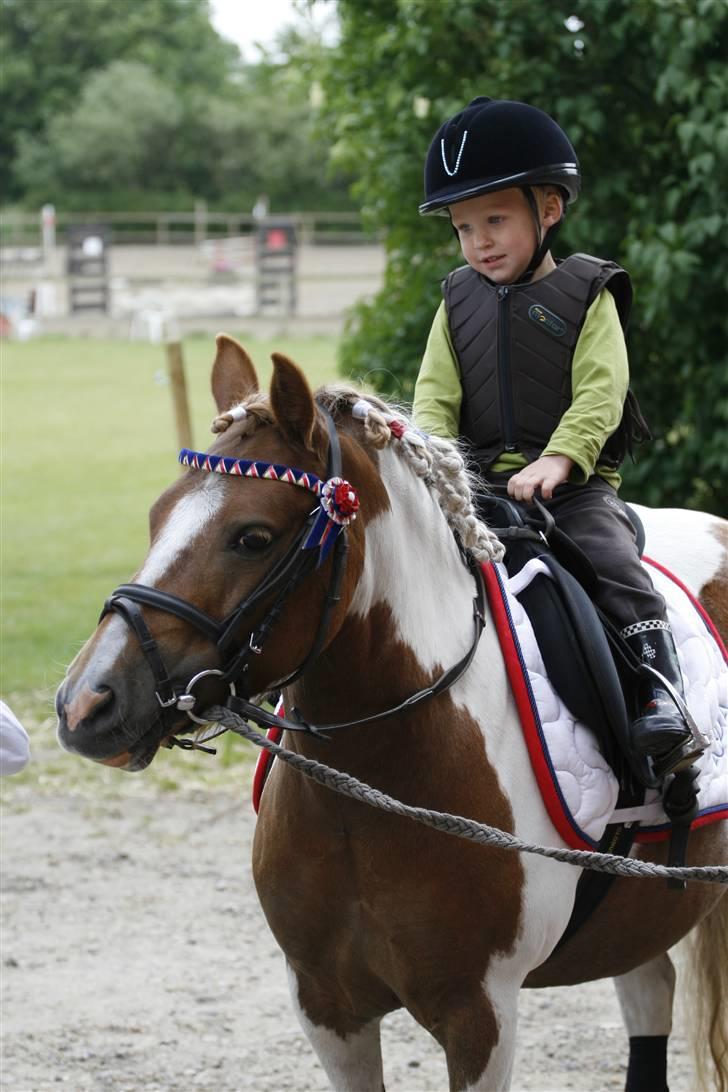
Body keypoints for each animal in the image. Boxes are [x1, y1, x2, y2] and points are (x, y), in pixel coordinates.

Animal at [57, 336, 728, 1087]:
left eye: (252, 536)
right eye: (157, 516)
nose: (88, 701)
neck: (377, 786)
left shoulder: (480, 1017)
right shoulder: (327, 1007)